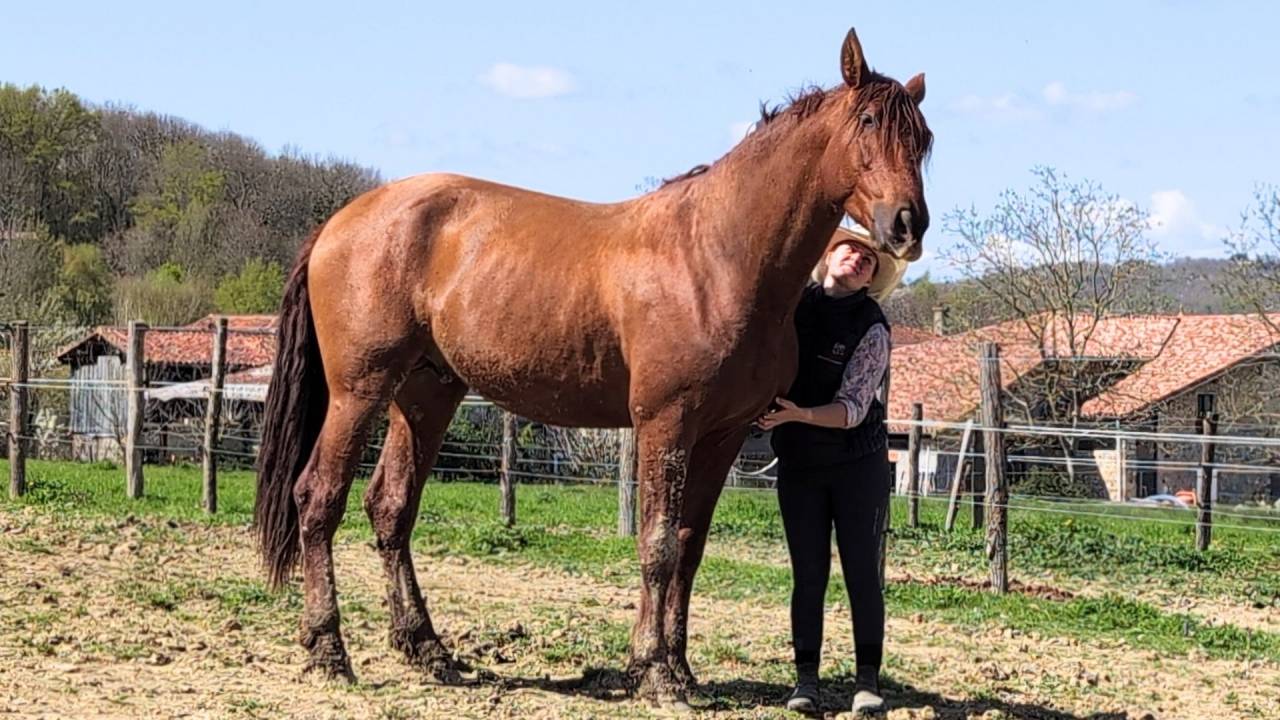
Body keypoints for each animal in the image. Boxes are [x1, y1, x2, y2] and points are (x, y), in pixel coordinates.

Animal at [254, 27, 931, 706]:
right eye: (868, 122)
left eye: (923, 138)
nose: (909, 223)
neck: (718, 255)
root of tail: (340, 223)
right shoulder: (665, 424)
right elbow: (657, 545)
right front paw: (655, 673)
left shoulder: (724, 435)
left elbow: (689, 547)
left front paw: (677, 668)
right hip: (359, 391)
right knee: (318, 499)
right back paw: (329, 651)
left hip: (425, 396)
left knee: (390, 508)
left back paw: (428, 650)